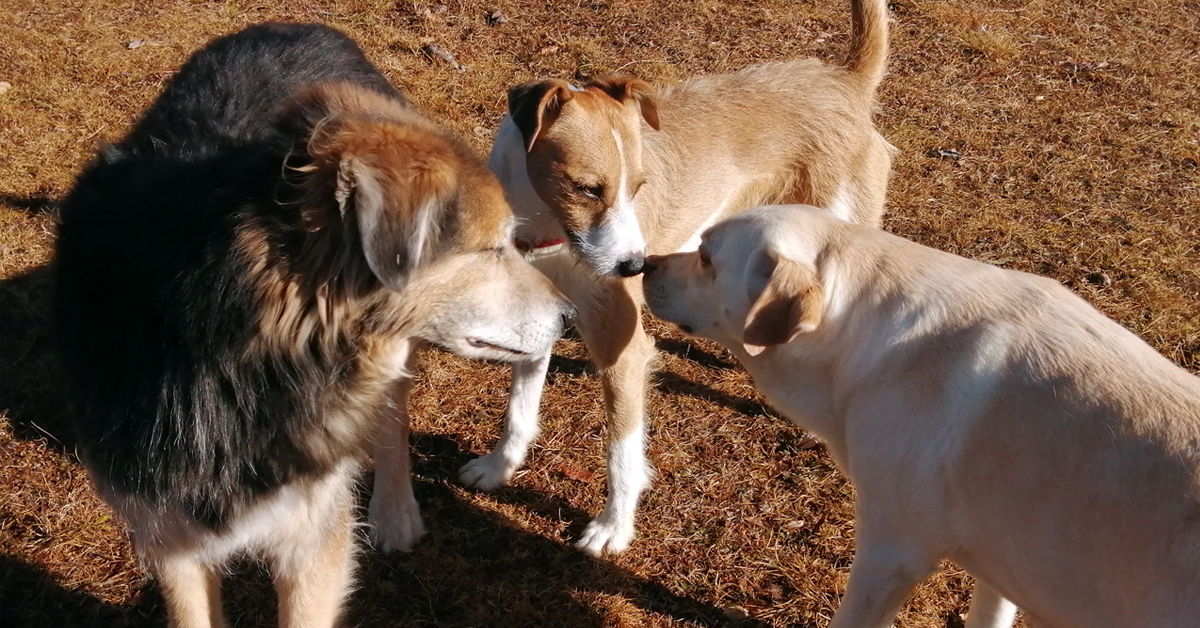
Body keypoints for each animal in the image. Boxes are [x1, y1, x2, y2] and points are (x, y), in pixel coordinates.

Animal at [51, 22, 566, 624]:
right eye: (492, 248)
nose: (569, 315)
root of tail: (303, 25)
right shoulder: (169, 537)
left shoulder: (312, 539)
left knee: (391, 417)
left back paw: (394, 511)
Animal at [482, 0, 897, 554]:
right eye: (587, 189)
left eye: (638, 187)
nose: (635, 267)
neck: (547, 236)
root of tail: (843, 79)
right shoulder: (535, 325)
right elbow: (518, 412)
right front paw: (498, 467)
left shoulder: (625, 349)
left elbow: (622, 453)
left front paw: (614, 527)